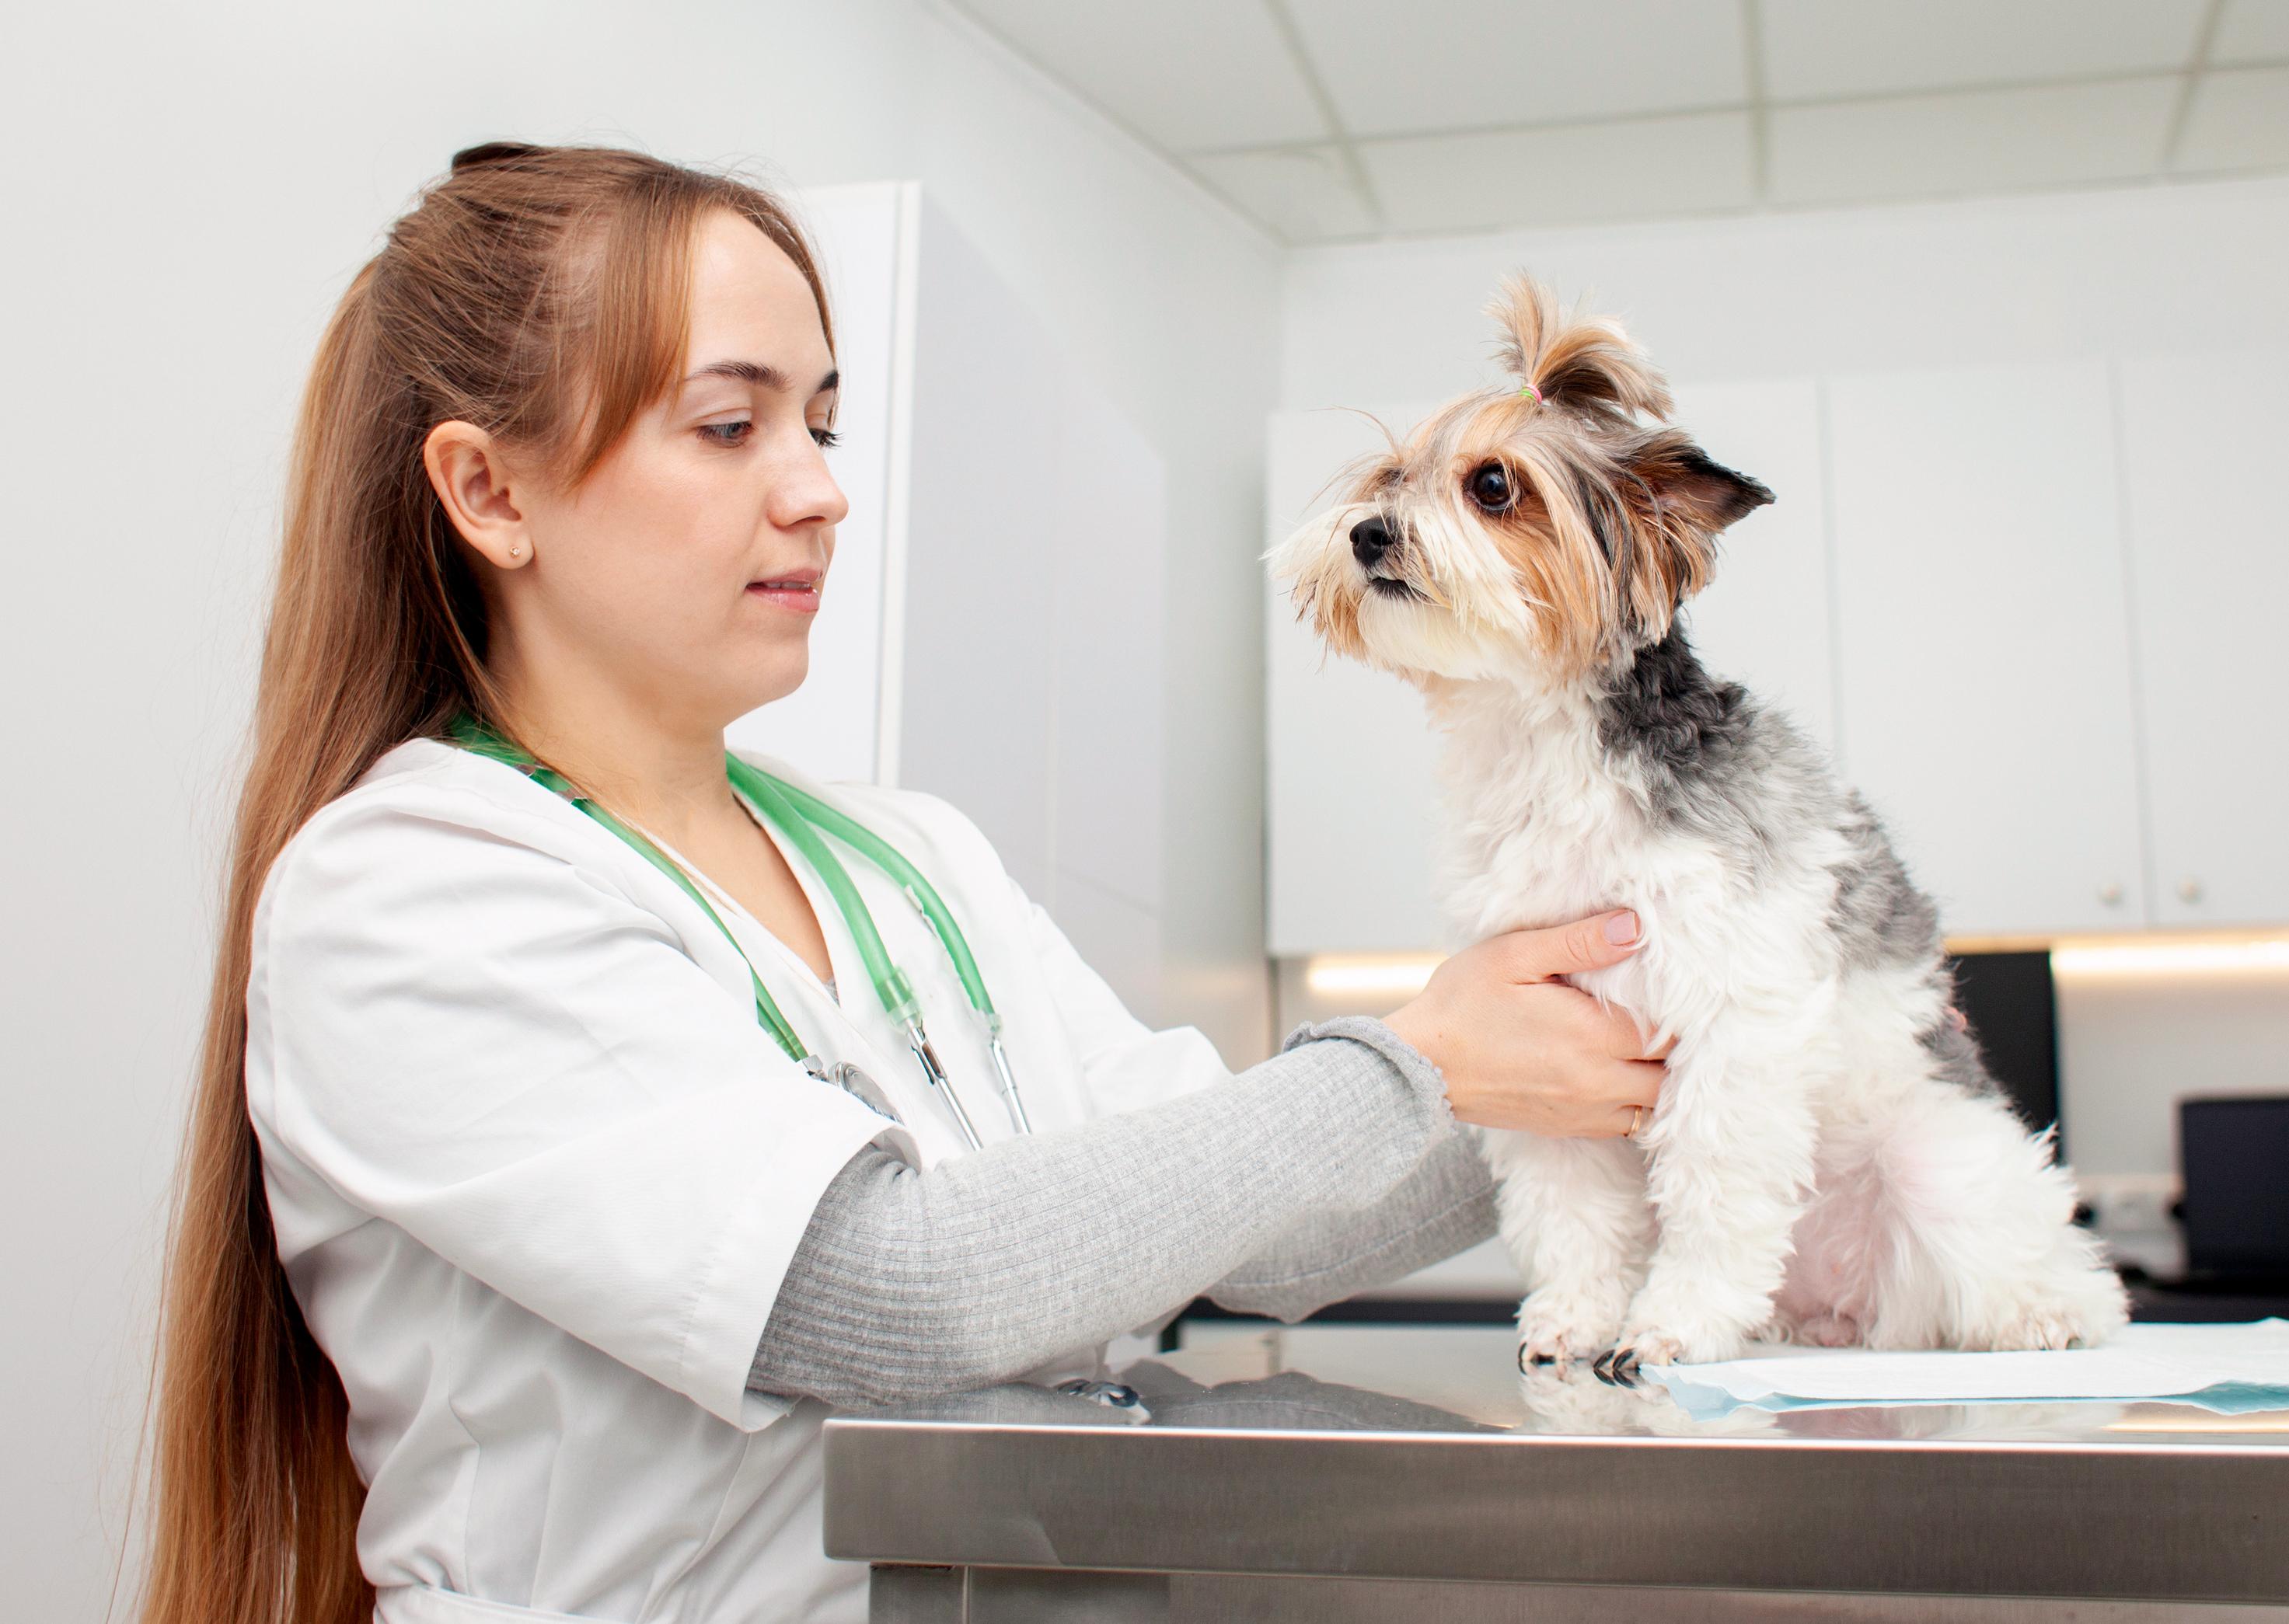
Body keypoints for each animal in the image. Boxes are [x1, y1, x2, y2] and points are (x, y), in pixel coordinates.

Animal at [1272, 284, 2123, 1390]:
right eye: (1387, 476)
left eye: (1492, 484)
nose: (1368, 533)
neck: (1546, 747)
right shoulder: (1543, 1050)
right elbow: (1569, 1210)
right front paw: (1573, 1318)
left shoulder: (1728, 1021)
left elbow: (1713, 1198)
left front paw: (1668, 1327)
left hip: (1937, 1163)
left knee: (2051, 1263)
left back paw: (2042, 1312)